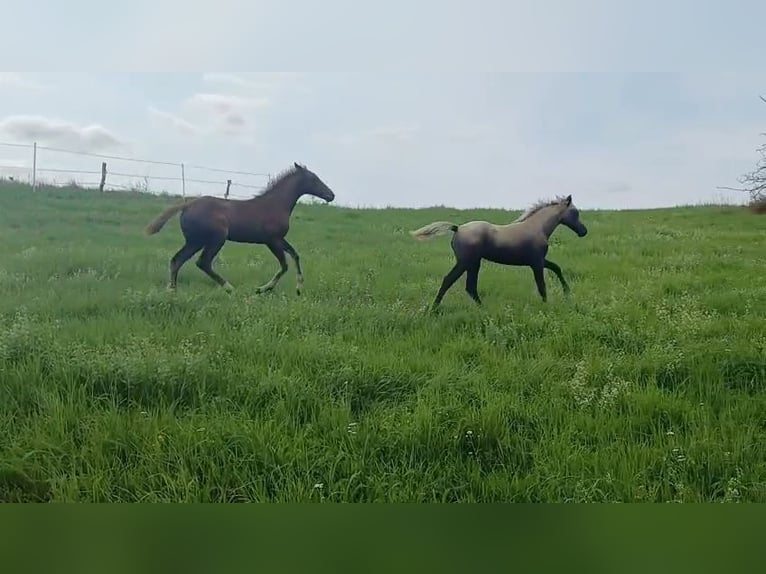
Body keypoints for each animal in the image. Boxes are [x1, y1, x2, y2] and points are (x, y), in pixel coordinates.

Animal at [143, 162, 335, 294]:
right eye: (314, 179)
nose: (331, 195)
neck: (275, 204)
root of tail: (187, 205)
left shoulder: (279, 239)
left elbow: (295, 255)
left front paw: (298, 288)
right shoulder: (272, 240)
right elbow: (284, 265)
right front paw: (263, 289)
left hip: (195, 241)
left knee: (177, 260)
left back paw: (172, 290)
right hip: (216, 238)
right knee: (202, 262)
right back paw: (229, 288)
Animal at [410, 195, 588, 311]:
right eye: (575, 212)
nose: (583, 231)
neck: (537, 228)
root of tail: (457, 228)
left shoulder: (539, 261)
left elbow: (556, 267)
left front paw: (567, 292)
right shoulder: (536, 263)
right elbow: (542, 285)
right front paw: (547, 305)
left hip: (474, 263)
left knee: (470, 287)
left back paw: (482, 308)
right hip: (466, 262)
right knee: (450, 280)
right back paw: (433, 310)